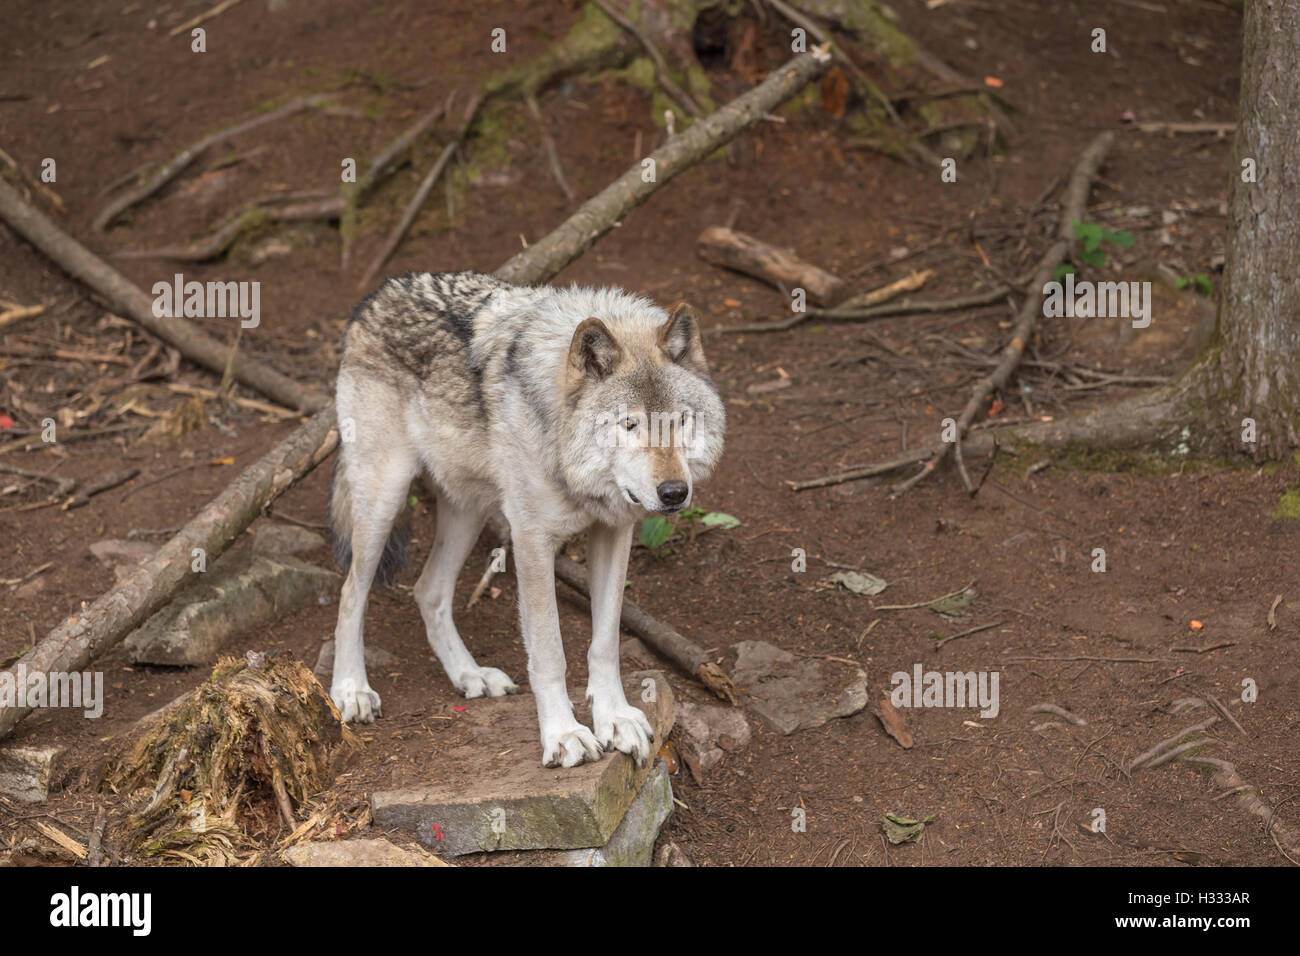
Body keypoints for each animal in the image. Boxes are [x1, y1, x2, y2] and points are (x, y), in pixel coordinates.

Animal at [328, 271, 725, 768]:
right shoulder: (532, 540)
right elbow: (550, 651)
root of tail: (377, 294)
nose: (674, 493)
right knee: (350, 593)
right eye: (629, 425)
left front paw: (614, 719)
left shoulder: (614, 532)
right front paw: (564, 734)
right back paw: (351, 690)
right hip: (384, 498)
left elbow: (605, 643)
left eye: (680, 421)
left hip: (468, 511)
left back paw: (470, 675)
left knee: (428, 591)